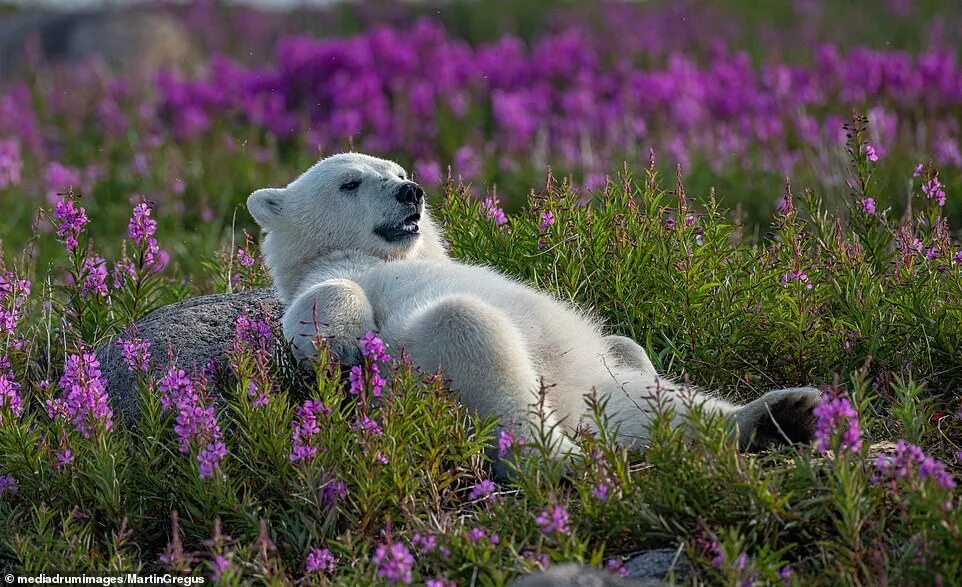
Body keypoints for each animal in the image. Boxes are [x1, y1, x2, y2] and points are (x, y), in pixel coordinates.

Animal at [248, 154, 816, 466]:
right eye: (350, 182)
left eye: (399, 170)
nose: (412, 191)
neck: (393, 256)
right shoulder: (335, 274)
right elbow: (318, 303)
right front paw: (343, 341)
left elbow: (628, 350)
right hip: (433, 371)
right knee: (474, 336)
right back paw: (565, 459)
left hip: (592, 381)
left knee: (658, 402)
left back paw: (780, 413)